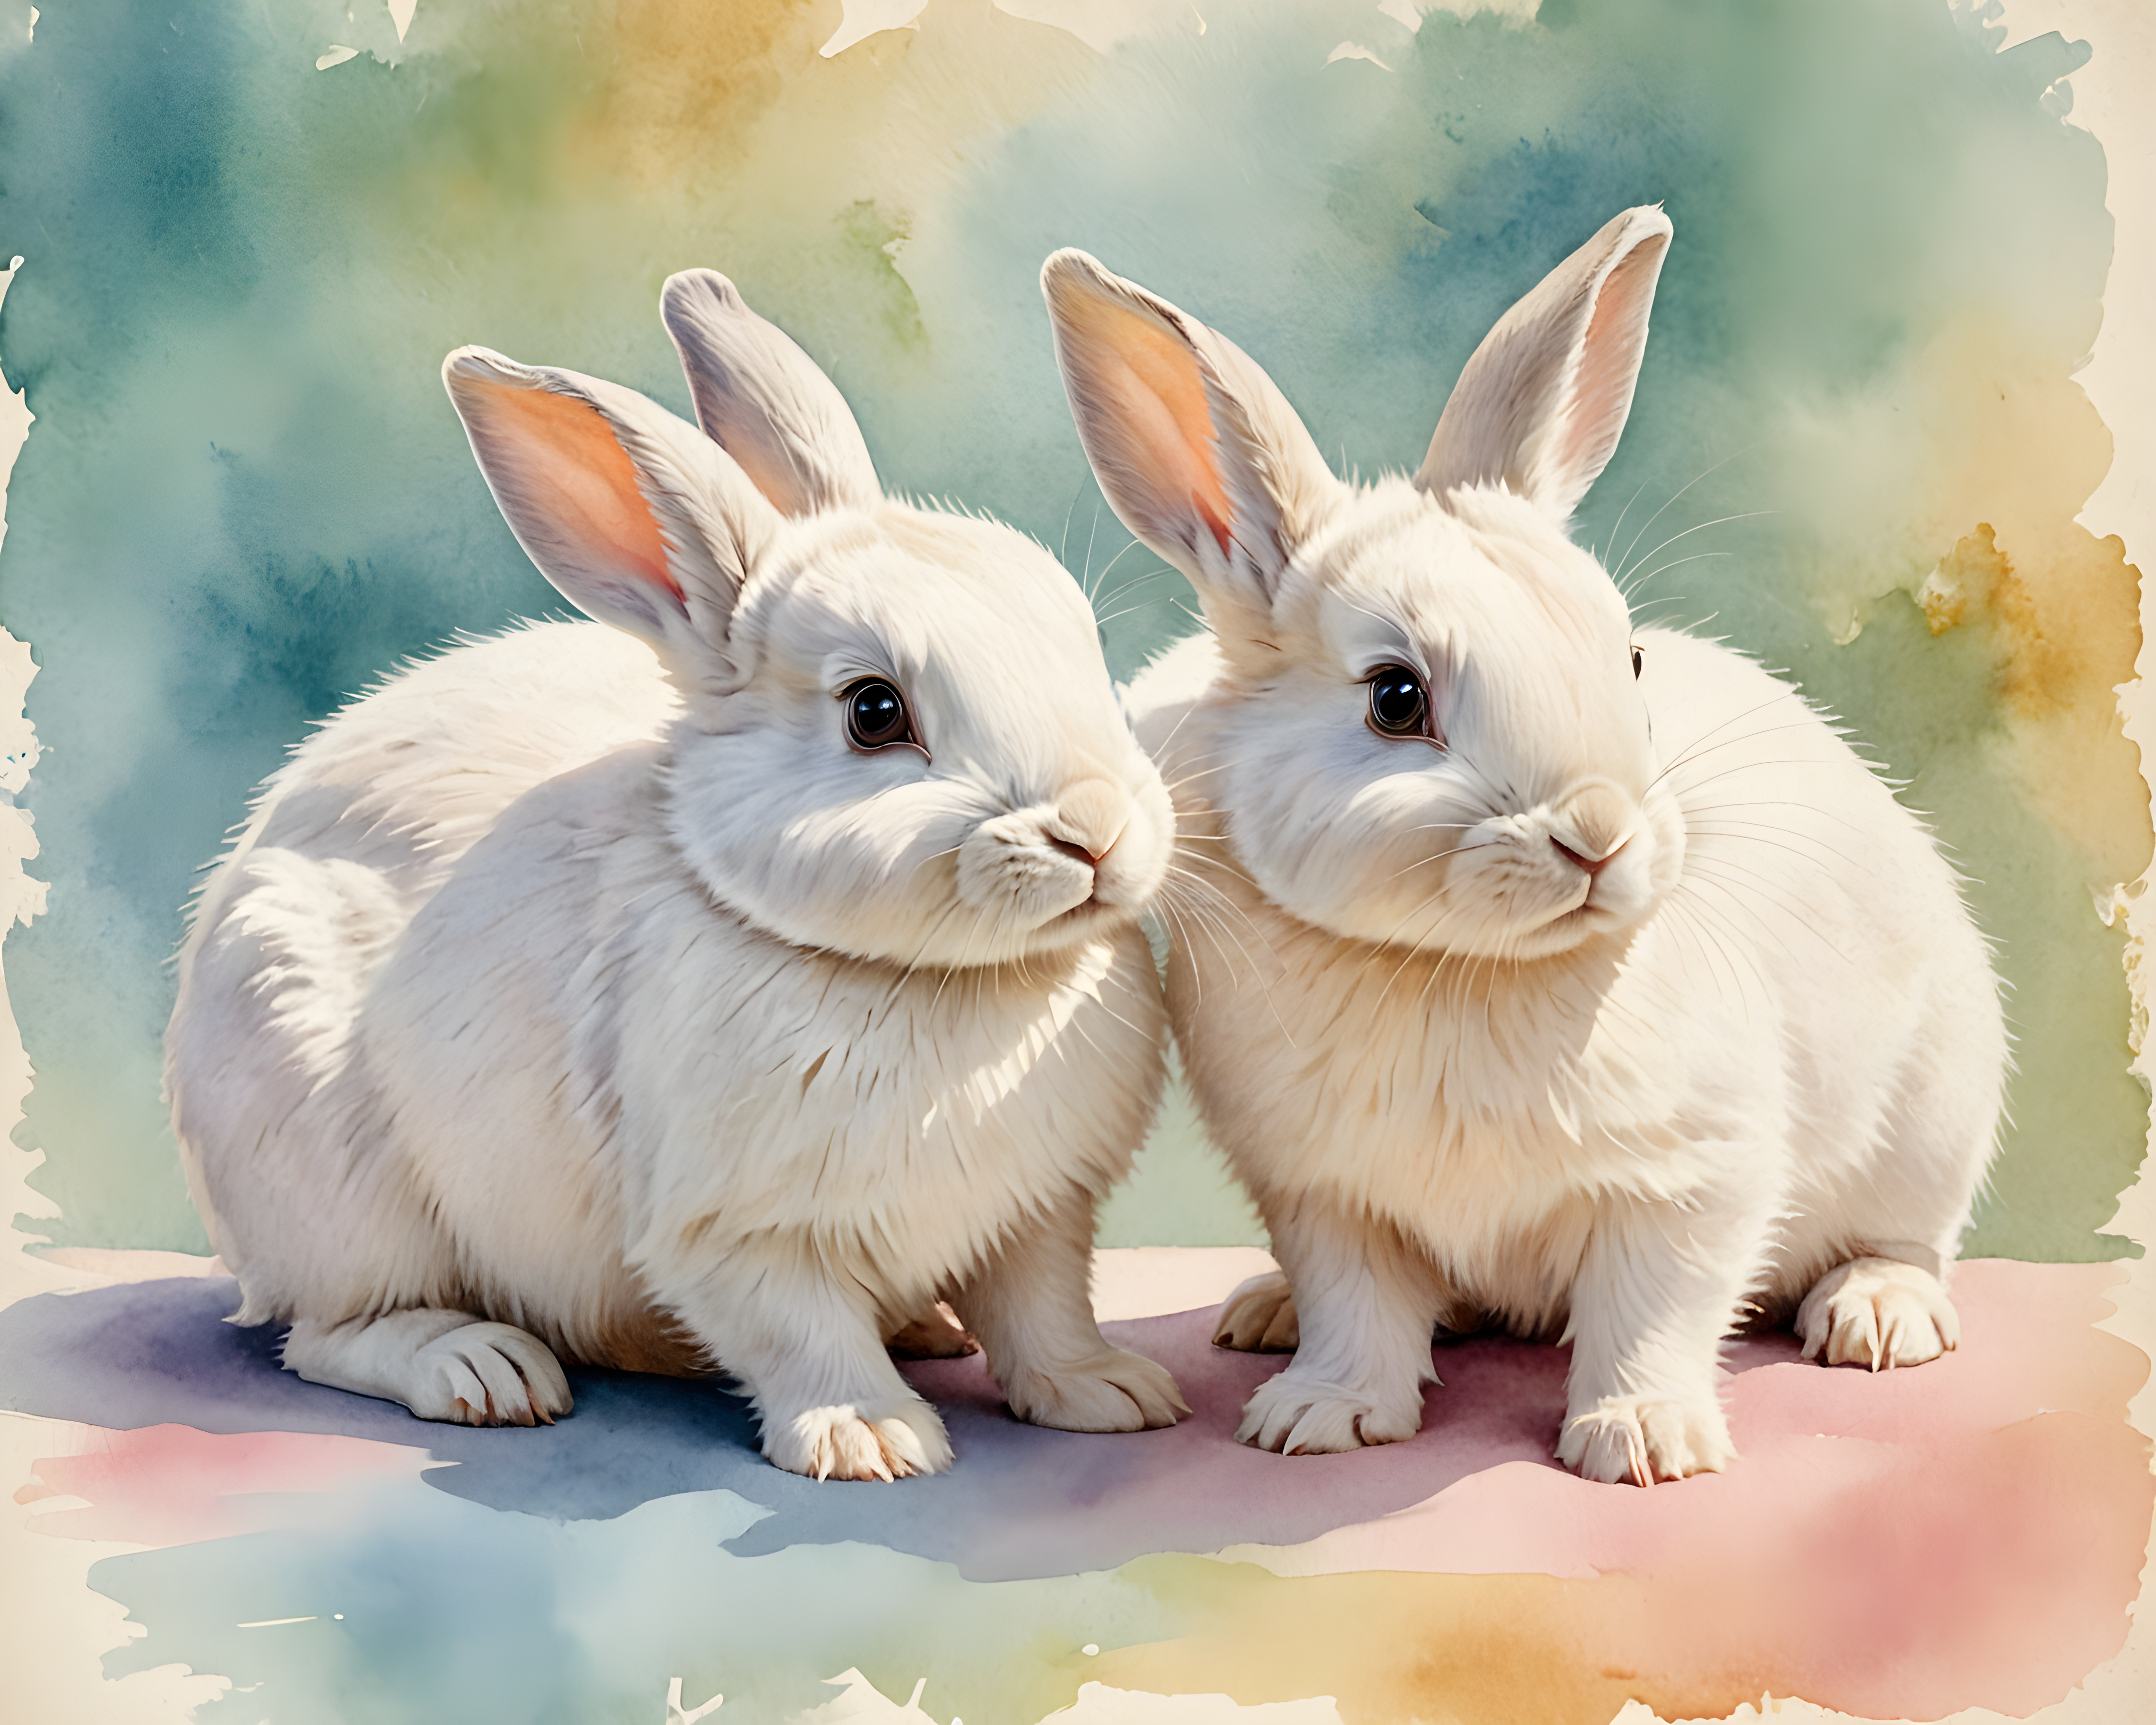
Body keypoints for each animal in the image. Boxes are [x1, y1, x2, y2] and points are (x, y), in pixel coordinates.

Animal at [163, 269, 1189, 1482]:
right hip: (333, 1179)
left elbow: (1045, 1313)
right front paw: (871, 1437)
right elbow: (804, 1334)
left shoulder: (1041, 1211)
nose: (1097, 831)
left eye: (1083, 645)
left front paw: (1113, 1395)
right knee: (327, 1333)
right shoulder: (735, 1235)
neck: (932, 980)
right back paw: (481, 1369)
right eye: (875, 711)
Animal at [1039, 207, 2005, 1487]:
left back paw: (1878, 1317)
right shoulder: (1322, 1195)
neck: (1460, 970)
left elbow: (1655, 1310)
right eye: (1396, 699)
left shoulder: (1693, 1179)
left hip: (1934, 1119)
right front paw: (1321, 1417)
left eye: (1628, 659)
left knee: (1907, 1240)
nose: (1598, 834)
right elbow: (1355, 1302)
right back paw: (1268, 1316)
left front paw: (1641, 1444)